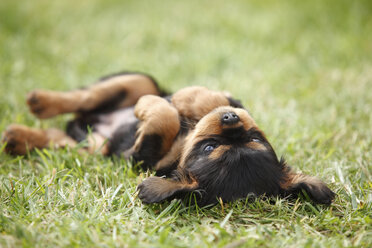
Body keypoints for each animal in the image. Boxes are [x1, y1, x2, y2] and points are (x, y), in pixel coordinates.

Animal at [1, 71, 336, 205]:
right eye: (255, 139)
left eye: (209, 147)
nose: (230, 119)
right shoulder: (233, 104)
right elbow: (207, 99)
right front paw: (187, 98)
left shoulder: (139, 159)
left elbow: (164, 119)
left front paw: (156, 107)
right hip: (136, 80)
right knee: (85, 96)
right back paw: (40, 102)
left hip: (94, 147)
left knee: (59, 134)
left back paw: (18, 135)